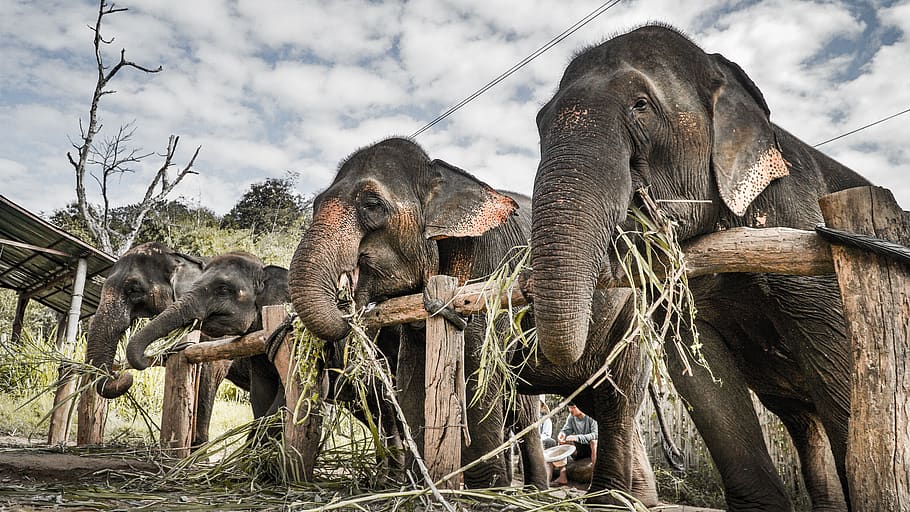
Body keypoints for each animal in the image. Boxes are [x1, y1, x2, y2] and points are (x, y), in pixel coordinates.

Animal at [529, 24, 870, 511]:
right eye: (540, 123)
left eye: (641, 105)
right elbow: (701, 373)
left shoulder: (801, 225)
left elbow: (834, 352)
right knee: (804, 425)